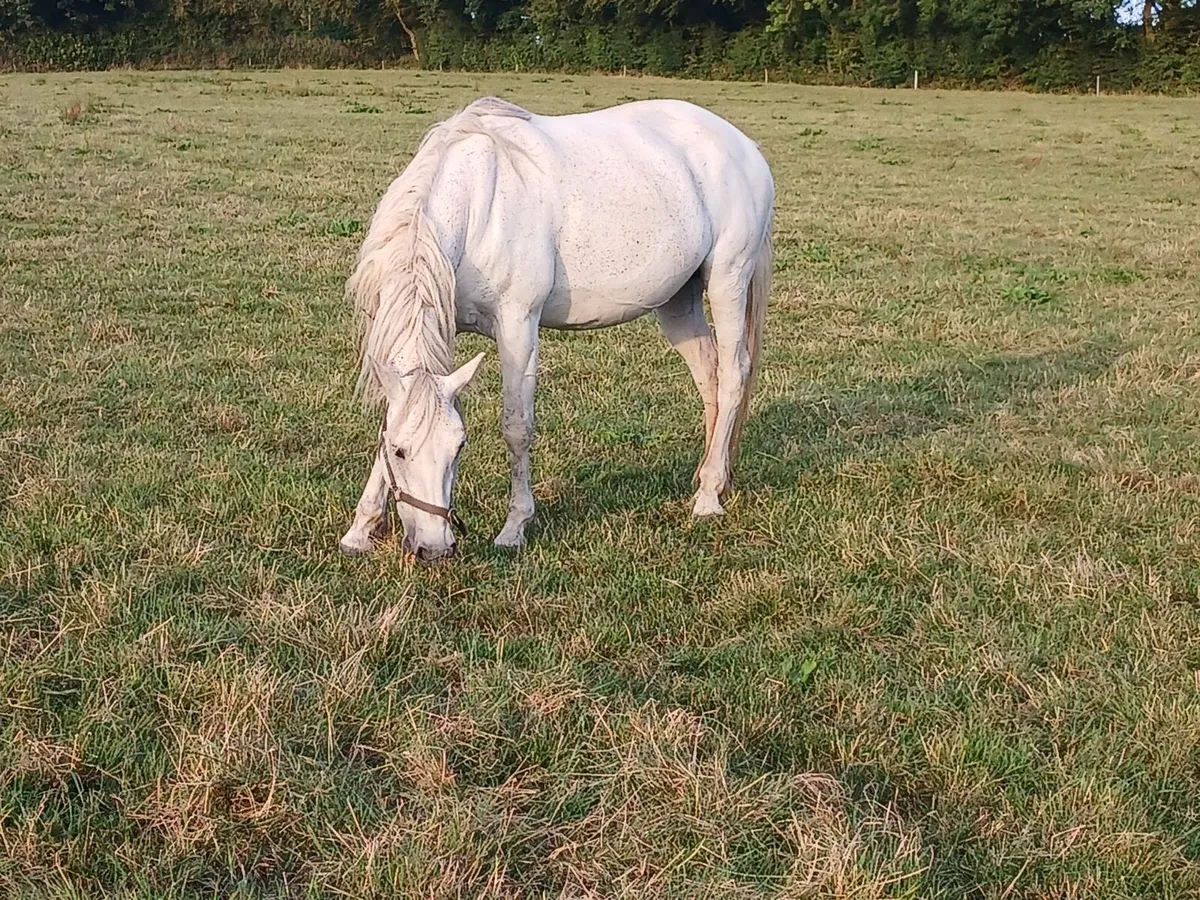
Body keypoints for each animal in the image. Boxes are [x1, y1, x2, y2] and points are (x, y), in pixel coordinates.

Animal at [338, 96, 774, 562]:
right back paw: (712, 476)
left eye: (459, 446)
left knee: (733, 375)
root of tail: (744, 145)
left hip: (728, 280)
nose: (435, 548)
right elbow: (392, 416)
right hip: (678, 301)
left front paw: (514, 526)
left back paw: (708, 497)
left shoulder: (518, 326)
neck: (475, 208)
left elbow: (516, 427)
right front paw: (359, 530)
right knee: (709, 377)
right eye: (400, 452)